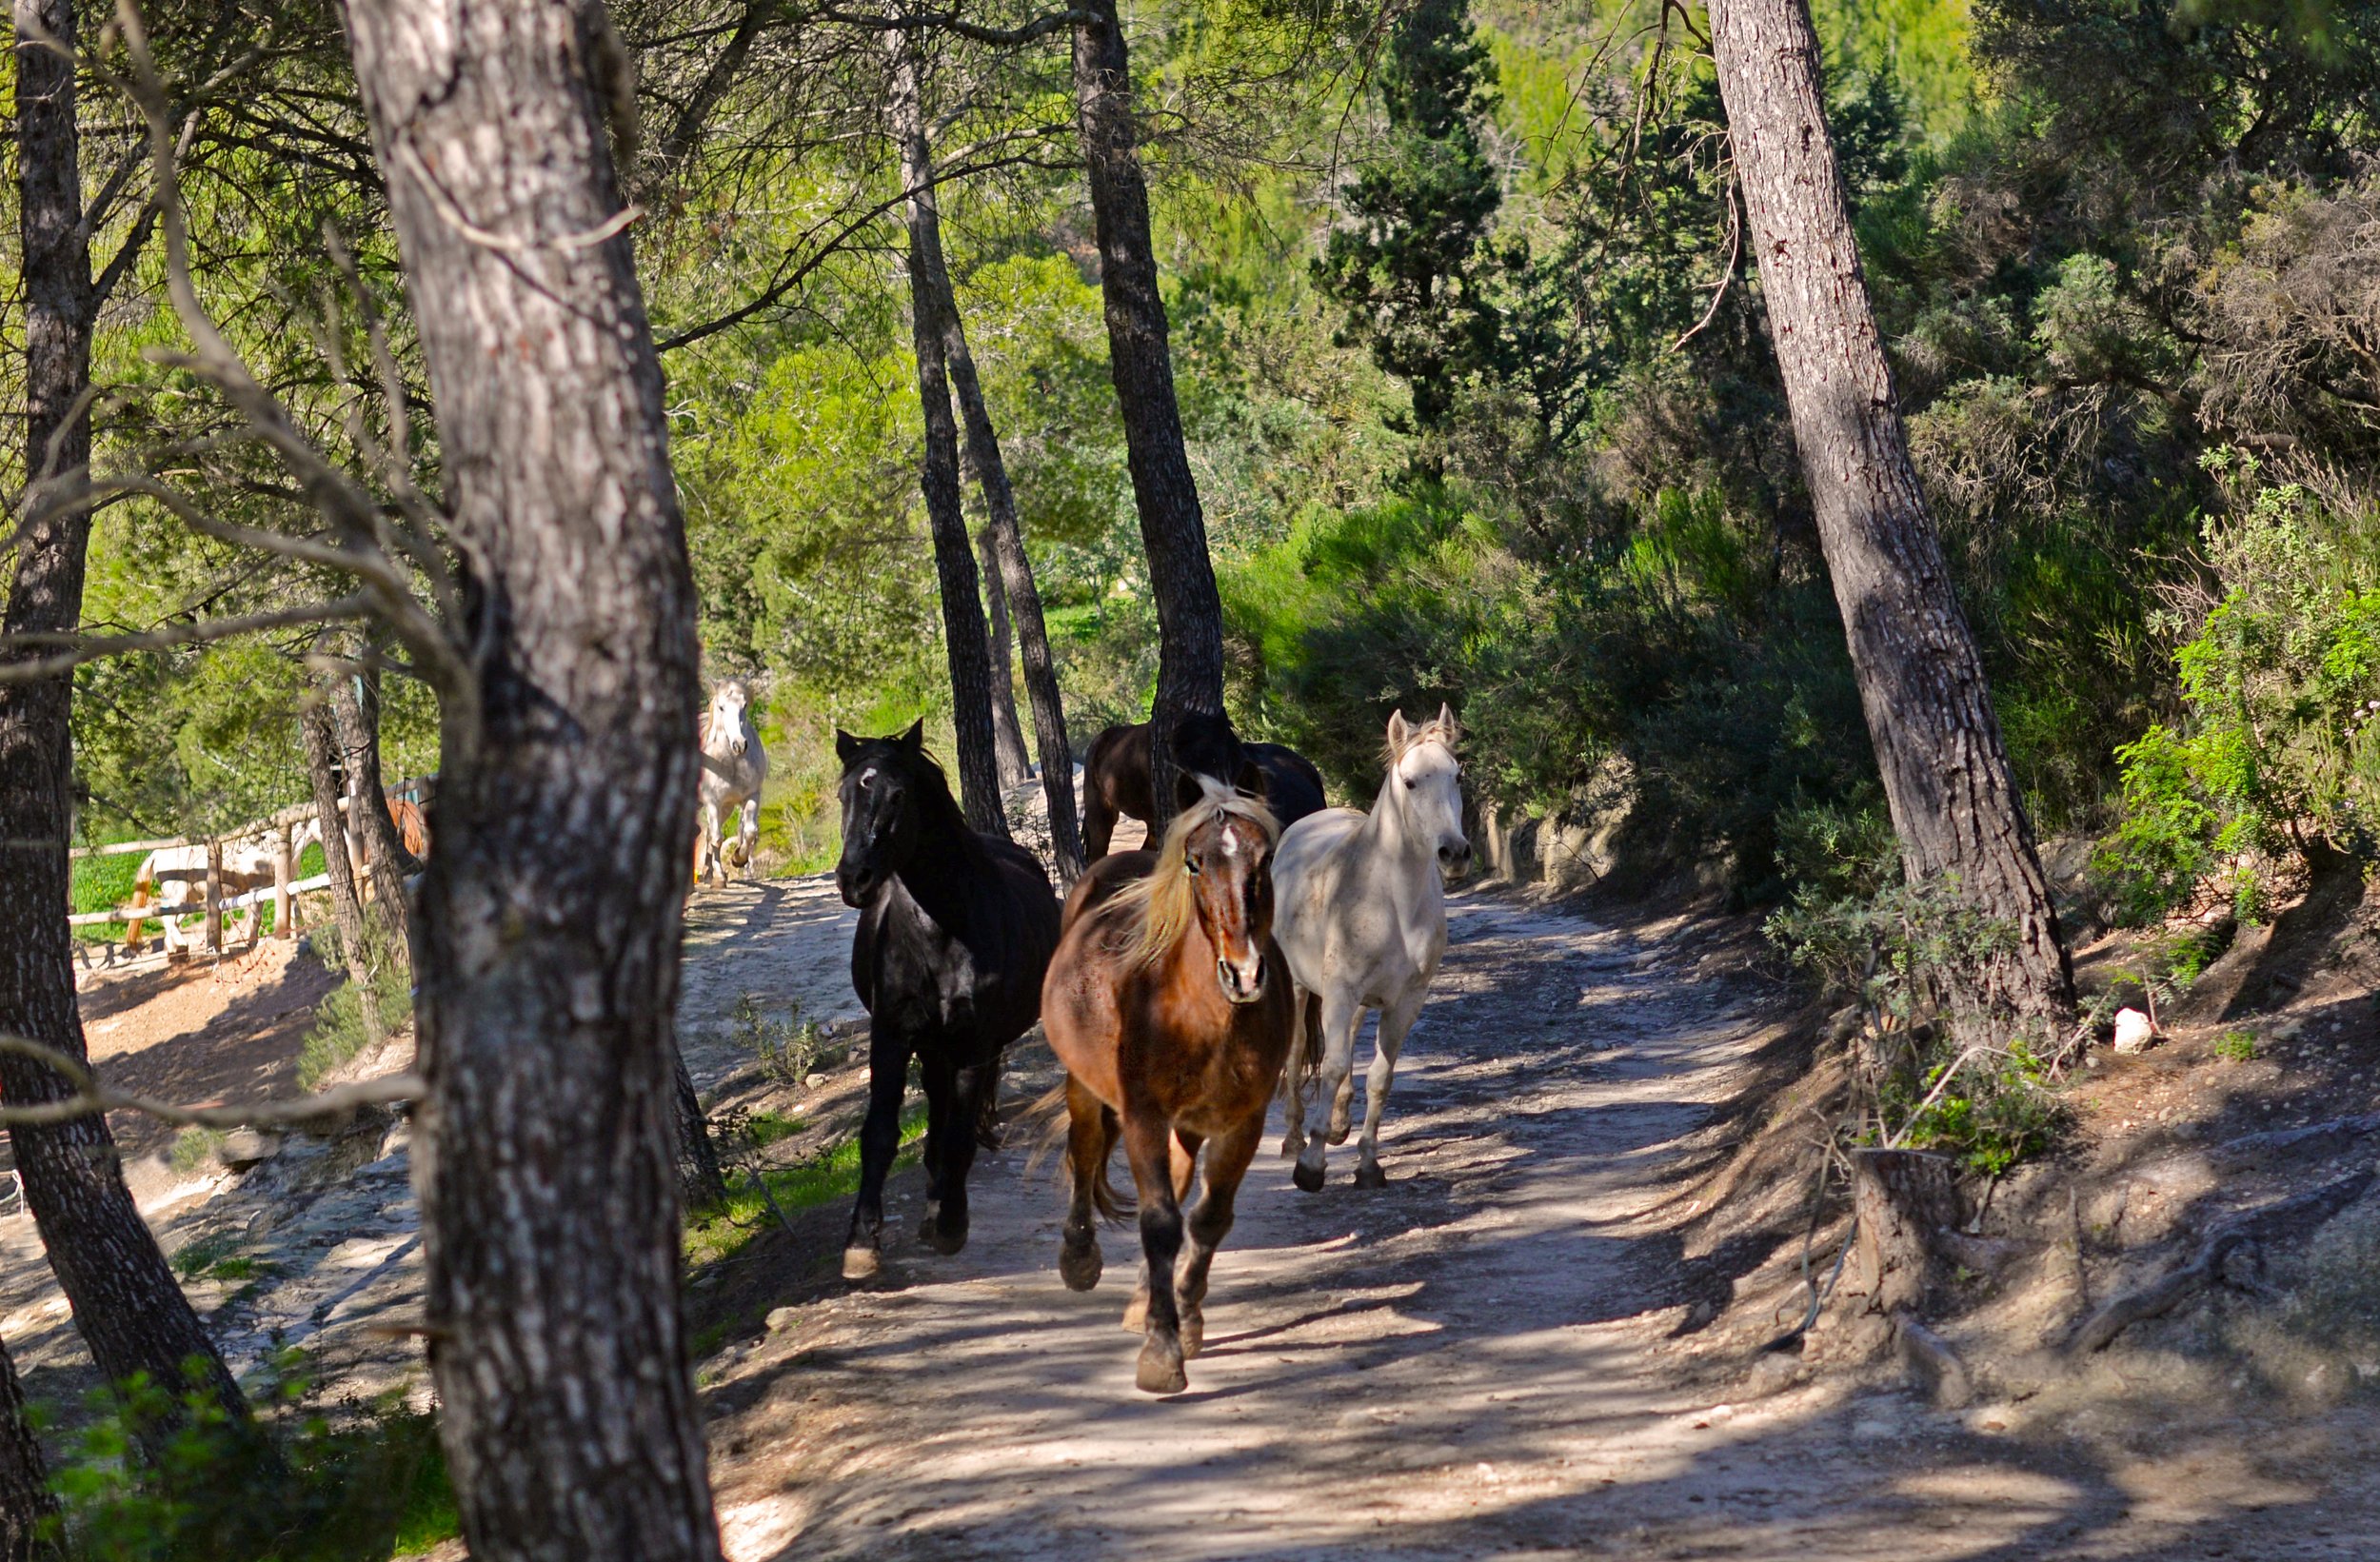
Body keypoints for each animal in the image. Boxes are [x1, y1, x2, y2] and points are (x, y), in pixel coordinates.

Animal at [695, 679, 767, 884]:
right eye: (721, 707)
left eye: (744, 705)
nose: (739, 744)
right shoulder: (712, 802)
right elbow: (717, 838)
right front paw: (720, 877)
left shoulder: (751, 796)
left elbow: (749, 832)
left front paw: (737, 859)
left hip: (725, 808)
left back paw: (708, 872)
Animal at [833, 720, 1062, 1279]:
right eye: (844, 795)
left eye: (897, 794)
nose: (854, 879)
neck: (938, 932)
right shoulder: (892, 1036)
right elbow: (879, 1133)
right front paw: (861, 1241)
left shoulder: (974, 1044)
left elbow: (959, 1133)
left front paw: (951, 1224)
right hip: (930, 1044)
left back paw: (940, 1204)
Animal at [1041, 780, 1296, 1394]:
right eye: (1195, 862)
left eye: (1265, 858)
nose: (1244, 974)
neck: (1200, 1013)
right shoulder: (1144, 1116)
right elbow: (1158, 1224)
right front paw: (1162, 1353)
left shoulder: (1242, 1122)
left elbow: (1206, 1219)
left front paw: (1187, 1317)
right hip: (1087, 1090)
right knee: (1086, 1150)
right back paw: (1079, 1257)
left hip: (1187, 1125)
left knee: (1177, 1188)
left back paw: (1142, 1299)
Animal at [1274, 706, 1470, 1191]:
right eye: (1411, 782)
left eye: (1457, 776)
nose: (1454, 853)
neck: (1392, 899)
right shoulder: (1339, 992)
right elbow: (1332, 1066)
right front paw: (1311, 1165)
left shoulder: (1407, 1000)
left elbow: (1380, 1077)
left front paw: (1367, 1164)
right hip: (1301, 986)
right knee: (1299, 1049)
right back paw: (1294, 1136)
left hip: (1359, 1001)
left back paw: (1338, 1124)